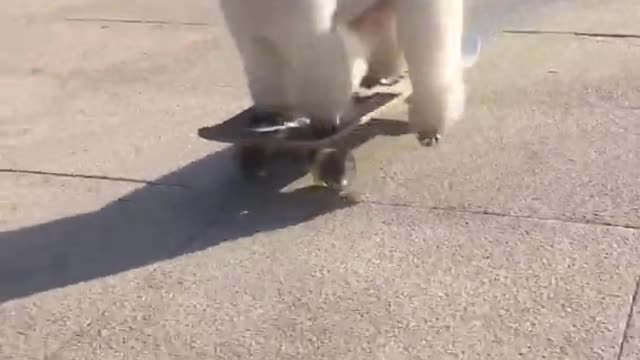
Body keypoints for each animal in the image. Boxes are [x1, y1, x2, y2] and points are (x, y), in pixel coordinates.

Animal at [220, 0, 464, 146]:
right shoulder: (254, 36)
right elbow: (265, 69)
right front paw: (272, 114)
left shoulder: (309, 28)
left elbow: (321, 66)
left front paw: (323, 123)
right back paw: (381, 75)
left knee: (430, 52)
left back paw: (430, 128)